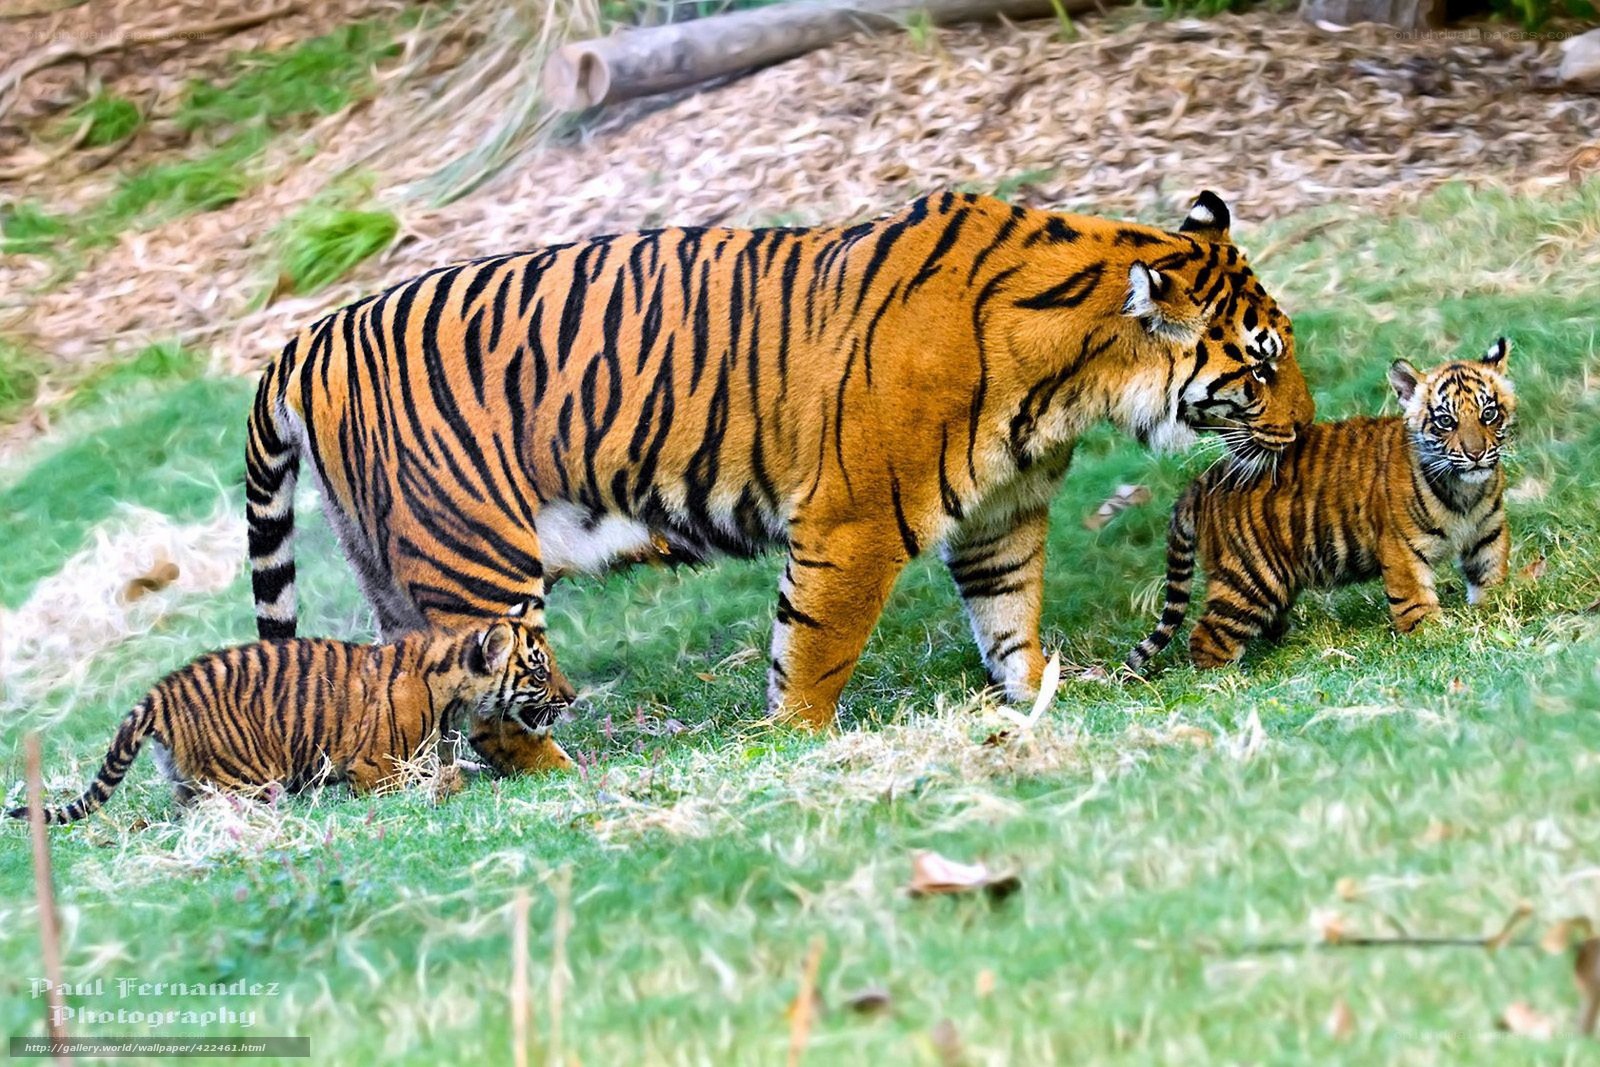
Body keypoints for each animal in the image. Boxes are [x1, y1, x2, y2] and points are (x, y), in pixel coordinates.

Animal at [7, 606, 574, 824]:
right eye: (539, 671)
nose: (572, 697)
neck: (450, 685)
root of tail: (159, 693)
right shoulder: (374, 768)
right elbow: (423, 781)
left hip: (191, 781)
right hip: (245, 780)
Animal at [245, 189, 1314, 730]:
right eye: (1262, 367)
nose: (1303, 431)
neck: (1073, 376)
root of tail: (307, 339)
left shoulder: (1000, 515)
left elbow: (1011, 615)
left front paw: (1039, 692)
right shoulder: (856, 521)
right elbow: (816, 646)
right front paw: (796, 740)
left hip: (393, 569)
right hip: (476, 560)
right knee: (492, 703)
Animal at [1126, 338, 1514, 671]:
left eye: (1489, 414)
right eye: (1445, 420)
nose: (1476, 454)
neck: (1465, 492)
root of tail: (1203, 480)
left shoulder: (1488, 533)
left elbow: (1490, 575)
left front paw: (1493, 609)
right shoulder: (1402, 548)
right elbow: (1415, 599)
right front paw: (1435, 636)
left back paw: (1296, 644)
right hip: (1250, 579)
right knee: (1207, 637)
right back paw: (1228, 681)